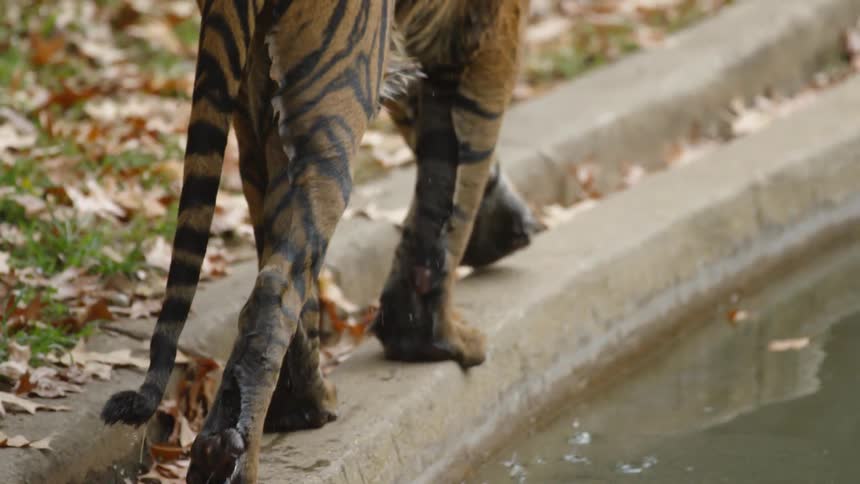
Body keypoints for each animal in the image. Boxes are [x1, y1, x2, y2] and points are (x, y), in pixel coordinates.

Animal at [100, 0, 537, 482]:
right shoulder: (488, 43)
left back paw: (299, 409)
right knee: (277, 288)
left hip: (264, 98)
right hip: (339, 89)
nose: (523, 229)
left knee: (282, 258)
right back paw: (230, 453)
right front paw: (435, 339)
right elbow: (453, 192)